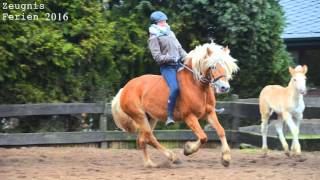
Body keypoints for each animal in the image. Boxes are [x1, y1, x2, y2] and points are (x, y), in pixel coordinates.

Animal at [111, 42, 239, 167]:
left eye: (227, 66)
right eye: (213, 66)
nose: (224, 87)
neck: (197, 86)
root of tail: (124, 89)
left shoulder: (210, 113)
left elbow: (221, 131)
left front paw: (226, 158)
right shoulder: (189, 116)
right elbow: (203, 137)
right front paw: (188, 149)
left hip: (151, 118)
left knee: (144, 139)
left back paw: (150, 163)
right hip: (140, 117)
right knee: (149, 137)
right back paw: (172, 158)